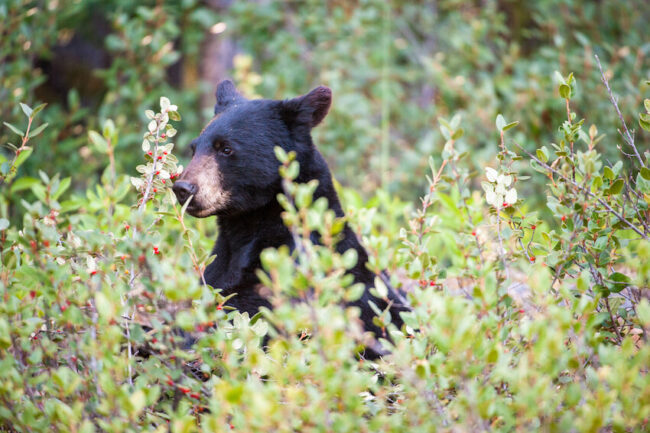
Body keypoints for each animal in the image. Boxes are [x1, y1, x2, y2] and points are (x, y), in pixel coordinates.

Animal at [172, 80, 408, 357]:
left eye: (226, 148)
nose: (183, 188)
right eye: (194, 148)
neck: (249, 224)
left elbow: (254, 312)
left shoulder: (295, 270)